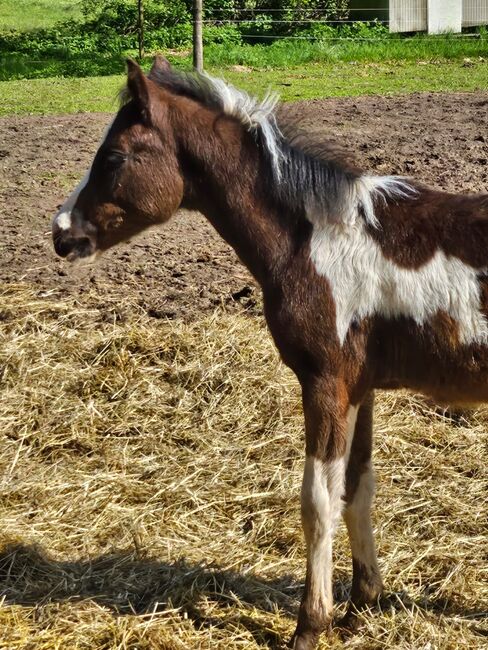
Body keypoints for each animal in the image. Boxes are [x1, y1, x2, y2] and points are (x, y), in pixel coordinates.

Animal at [50, 58, 488, 644]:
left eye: (116, 156)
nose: (61, 234)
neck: (315, 239)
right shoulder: (360, 387)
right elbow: (358, 488)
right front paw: (361, 605)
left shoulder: (325, 382)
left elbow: (318, 503)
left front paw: (309, 625)